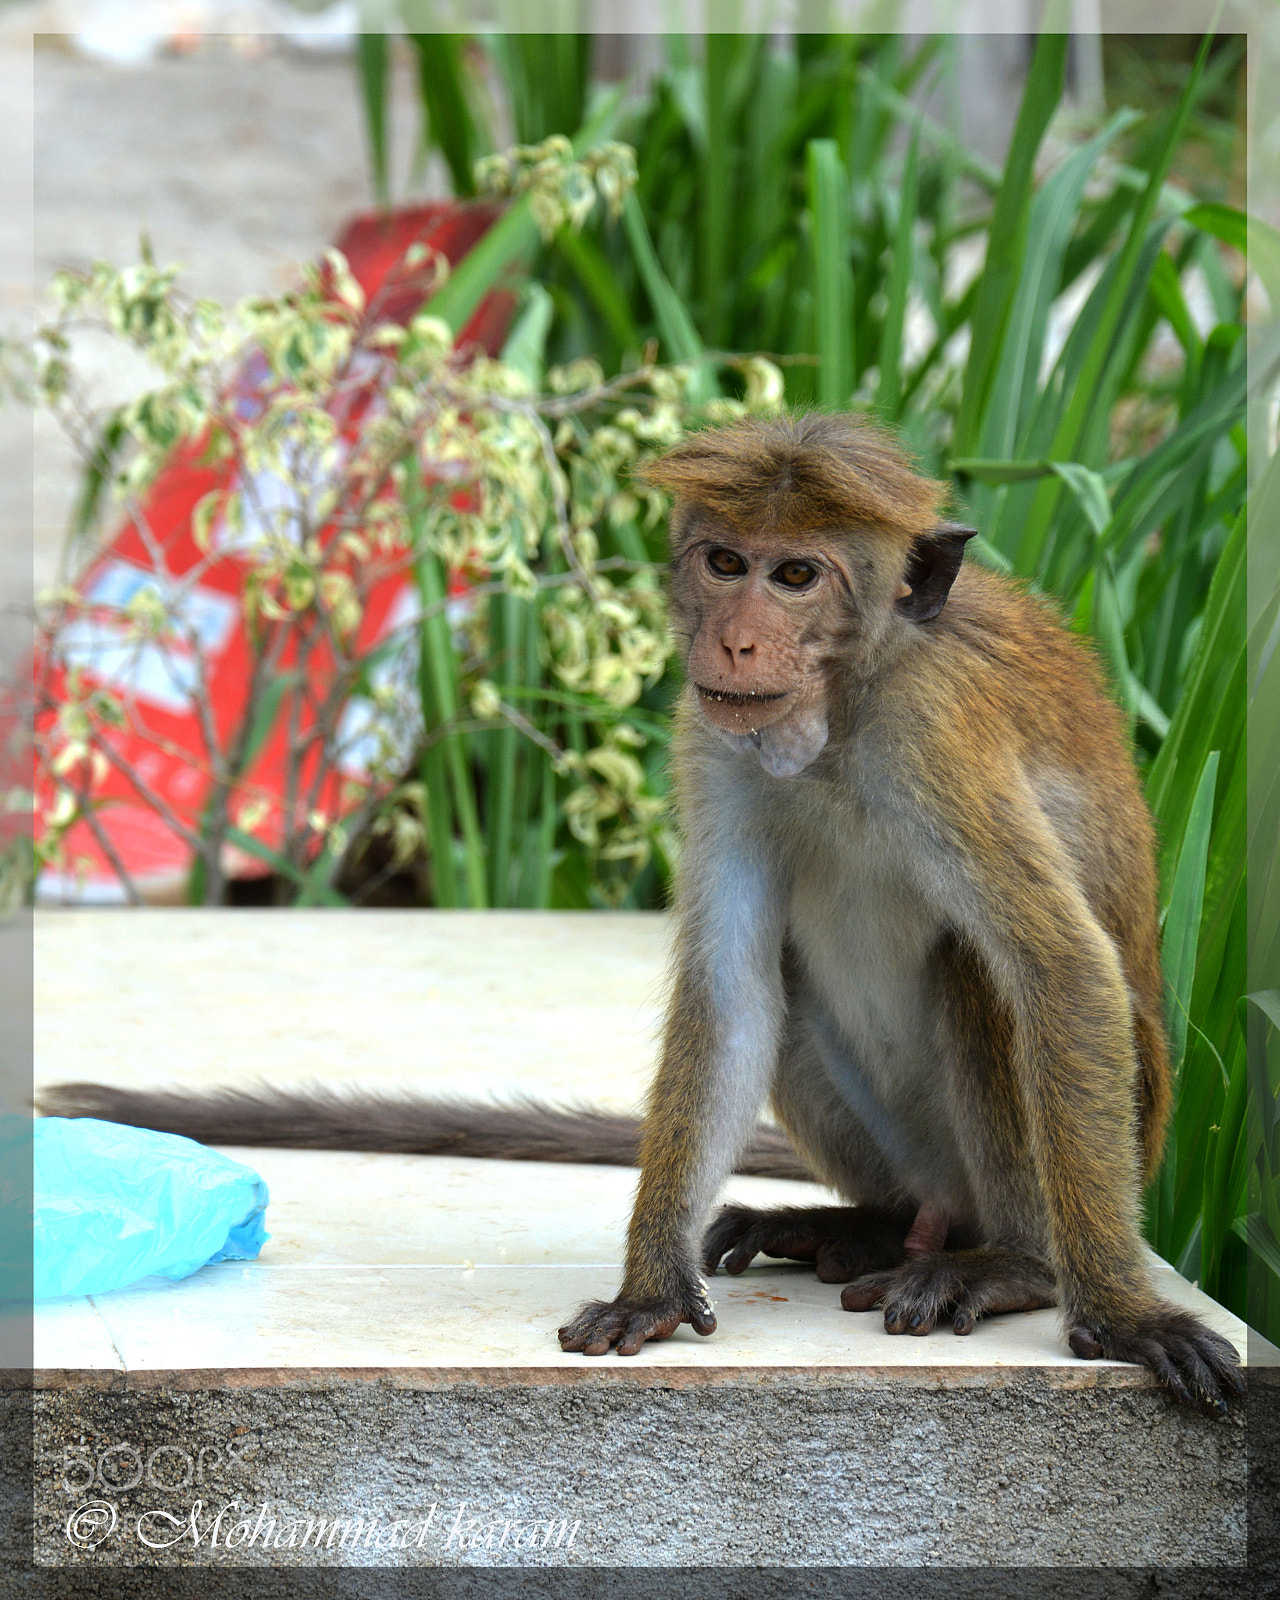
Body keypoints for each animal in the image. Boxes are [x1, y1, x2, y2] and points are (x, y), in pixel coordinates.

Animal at [40, 413, 1243, 1415]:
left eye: (796, 575)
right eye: (725, 563)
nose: (737, 639)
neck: (839, 717)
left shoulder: (934, 731)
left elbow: (1057, 969)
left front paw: (1118, 1316)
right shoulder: (712, 736)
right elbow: (732, 984)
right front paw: (653, 1289)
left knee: (978, 969)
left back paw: (1011, 1262)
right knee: (794, 988)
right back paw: (864, 1225)